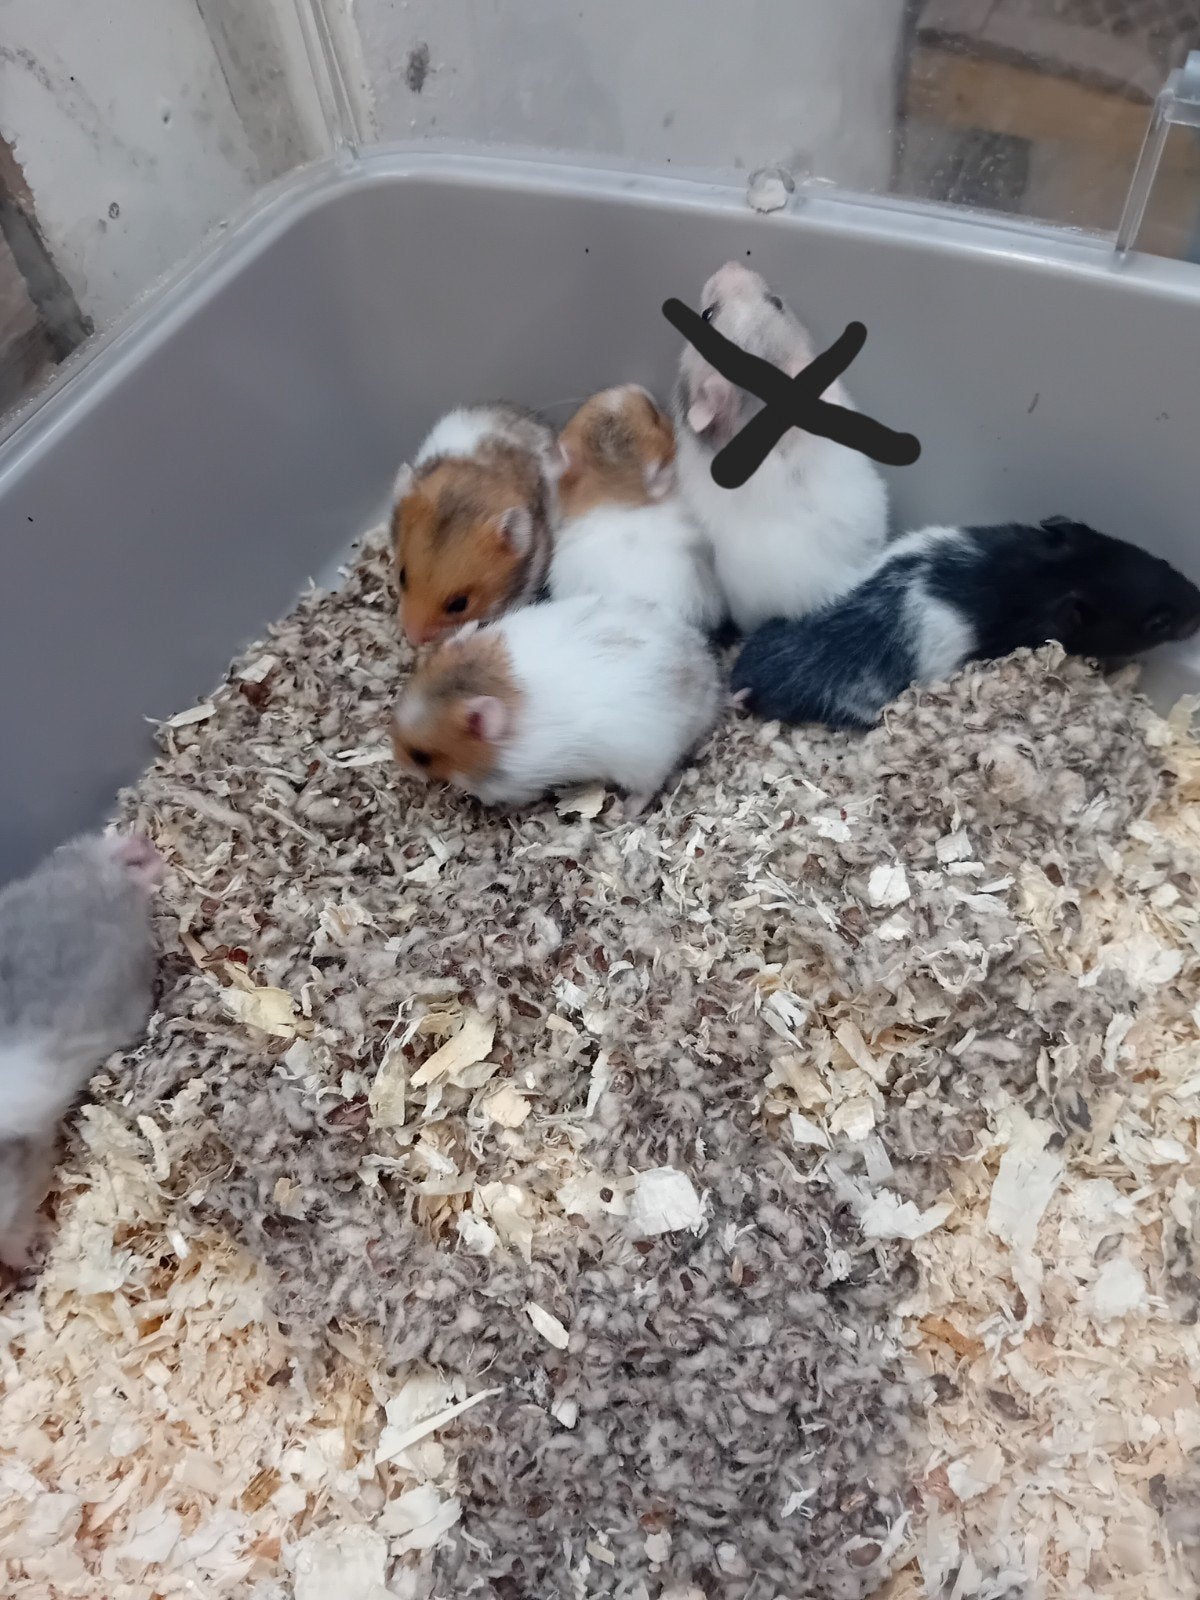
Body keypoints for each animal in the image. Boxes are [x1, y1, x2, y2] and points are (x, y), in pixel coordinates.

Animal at [390, 593, 721, 812]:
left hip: (643, 763)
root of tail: (709, 684)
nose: (398, 763)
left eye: (421, 756)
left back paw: (621, 813)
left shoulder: (517, 784)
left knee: (647, 789)